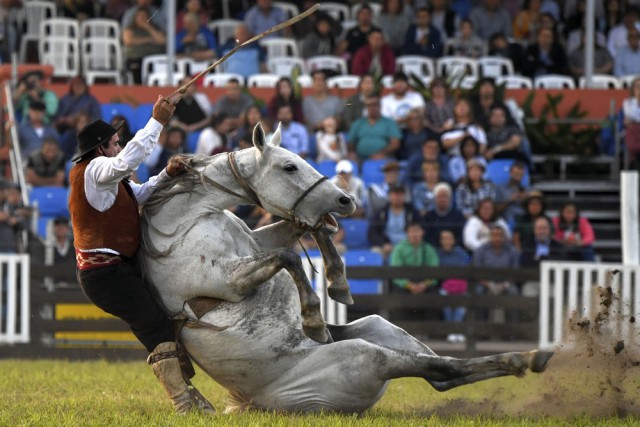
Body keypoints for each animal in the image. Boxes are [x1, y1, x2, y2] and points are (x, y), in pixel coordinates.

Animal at [141, 125, 556, 416]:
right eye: (289, 165)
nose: (345, 199)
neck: (185, 220)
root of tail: (249, 403)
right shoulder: (224, 280)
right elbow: (290, 258)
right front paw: (312, 319)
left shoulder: (258, 243)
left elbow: (307, 230)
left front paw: (338, 281)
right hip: (365, 357)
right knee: (439, 372)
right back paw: (528, 358)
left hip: (380, 327)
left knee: (433, 369)